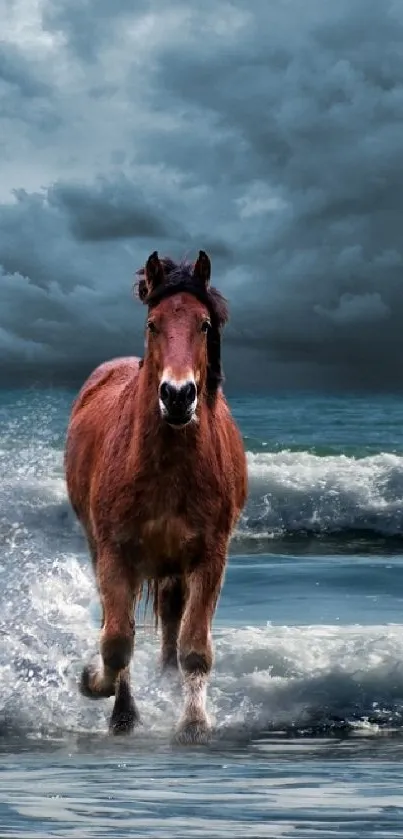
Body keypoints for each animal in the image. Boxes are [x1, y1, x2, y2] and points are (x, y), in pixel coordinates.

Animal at [64, 248, 248, 740]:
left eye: (203, 324)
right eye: (153, 323)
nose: (178, 395)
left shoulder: (209, 557)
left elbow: (194, 647)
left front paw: (194, 724)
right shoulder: (115, 553)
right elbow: (116, 640)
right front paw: (97, 687)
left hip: (174, 568)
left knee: (171, 625)